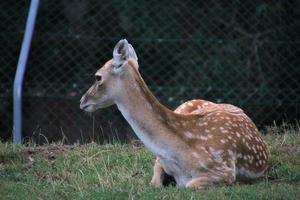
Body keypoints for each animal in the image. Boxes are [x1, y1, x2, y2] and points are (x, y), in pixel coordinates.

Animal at [79, 39, 268, 189]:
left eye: (97, 77)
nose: (82, 101)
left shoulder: (225, 170)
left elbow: (189, 185)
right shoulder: (160, 162)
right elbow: (155, 182)